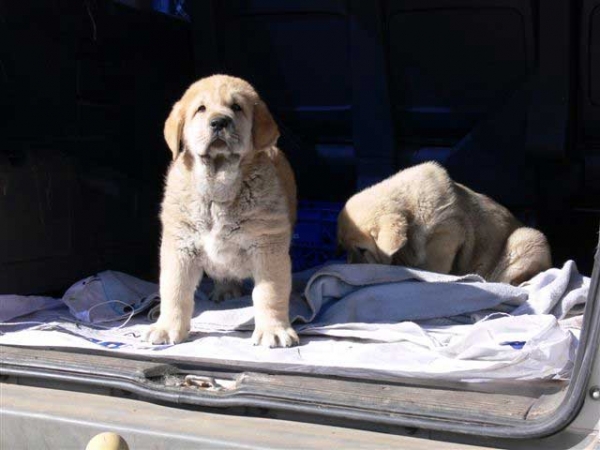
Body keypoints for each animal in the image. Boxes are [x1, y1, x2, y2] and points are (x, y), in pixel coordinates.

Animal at [143, 74, 298, 348]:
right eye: (201, 109)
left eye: (237, 107)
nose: (219, 122)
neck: (217, 191)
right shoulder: (179, 246)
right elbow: (174, 290)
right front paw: (166, 327)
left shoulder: (269, 246)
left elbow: (270, 292)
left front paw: (273, 329)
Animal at [338, 163, 552, 284]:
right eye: (344, 249)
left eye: (362, 250)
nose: (350, 268)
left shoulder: (445, 237)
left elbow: (432, 268)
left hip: (528, 238)